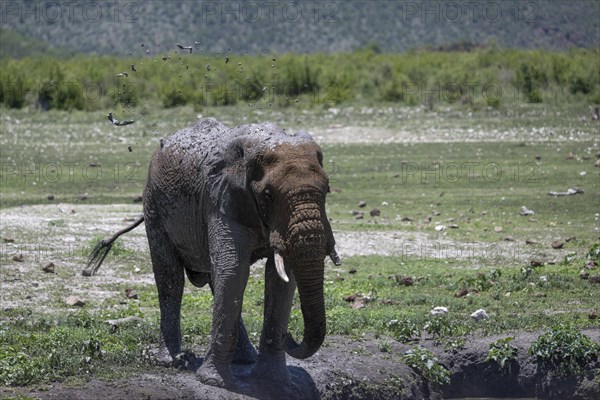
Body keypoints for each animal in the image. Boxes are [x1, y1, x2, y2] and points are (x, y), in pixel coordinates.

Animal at [85, 118, 340, 388]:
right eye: (268, 195)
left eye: (327, 190)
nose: (289, 336)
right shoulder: (220, 199)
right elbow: (233, 270)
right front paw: (213, 382)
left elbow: (280, 278)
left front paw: (274, 382)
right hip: (153, 204)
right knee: (171, 278)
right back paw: (170, 361)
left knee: (215, 280)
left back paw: (244, 359)